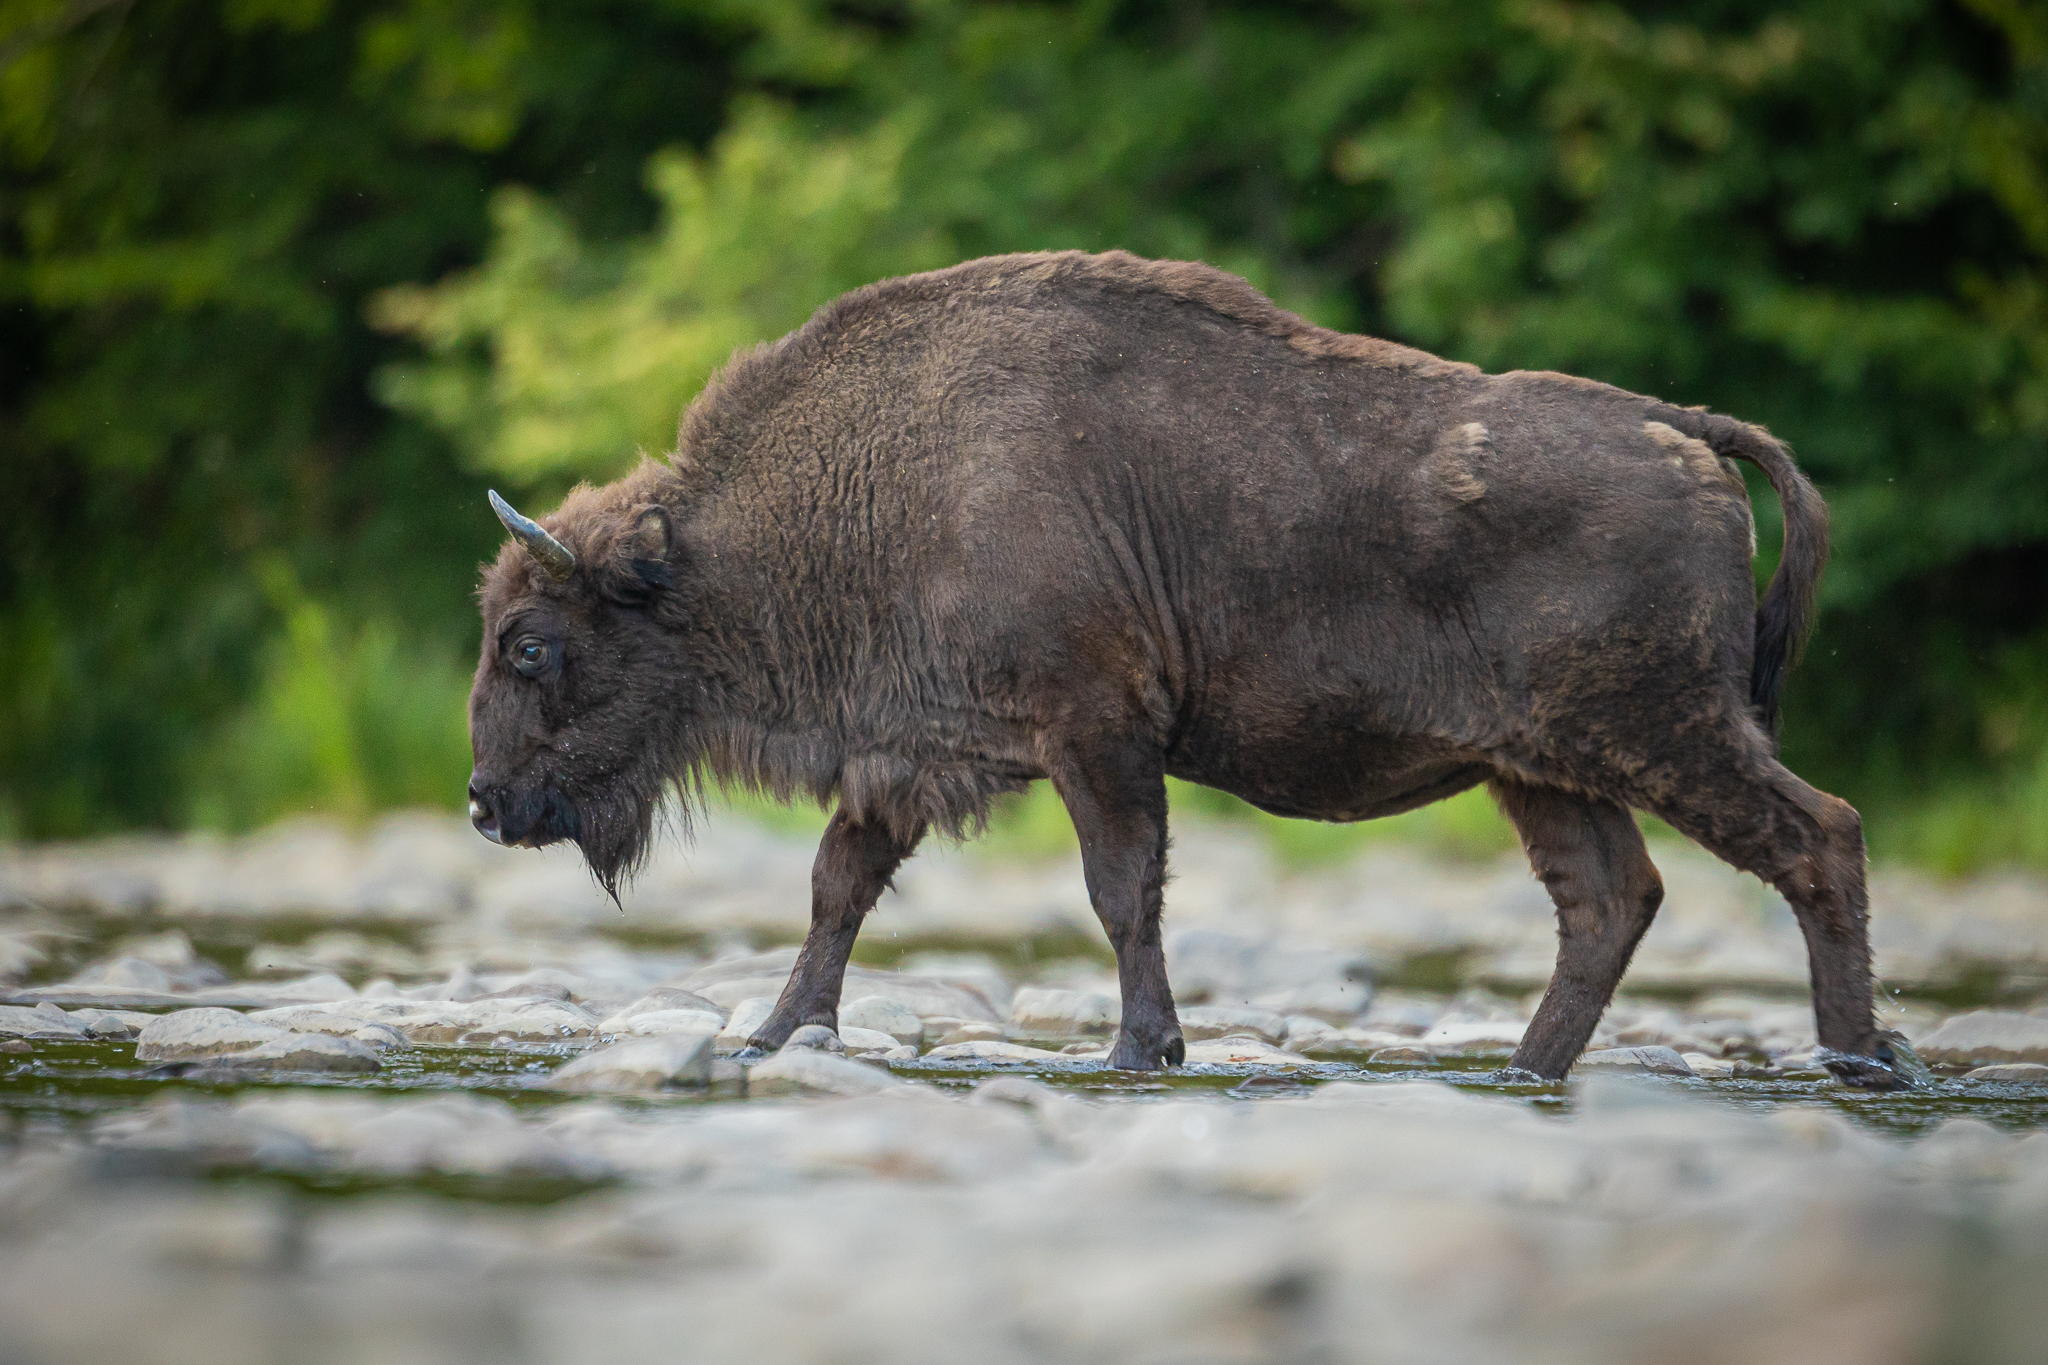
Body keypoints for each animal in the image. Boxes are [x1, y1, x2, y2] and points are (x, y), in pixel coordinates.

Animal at [471, 250, 1908, 1088]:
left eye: (533, 642)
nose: (484, 804)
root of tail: (1682, 432)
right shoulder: (909, 758)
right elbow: (839, 889)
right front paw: (778, 1036)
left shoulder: (1095, 734)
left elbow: (1120, 891)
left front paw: (1140, 1046)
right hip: (1542, 768)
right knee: (1609, 902)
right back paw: (1524, 1068)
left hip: (1666, 734)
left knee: (1817, 836)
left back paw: (1861, 1059)